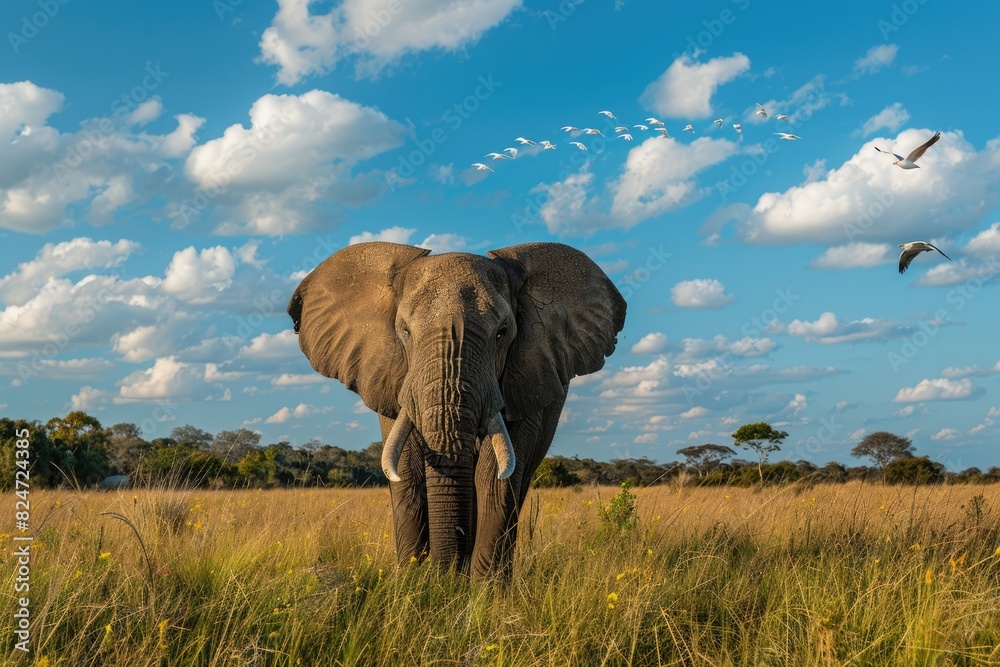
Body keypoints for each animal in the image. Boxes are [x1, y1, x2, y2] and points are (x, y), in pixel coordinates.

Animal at [287, 241, 626, 579]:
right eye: (405, 331)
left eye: (502, 332)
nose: (446, 575)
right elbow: (407, 469)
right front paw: (413, 581)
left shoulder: (528, 377)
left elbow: (494, 477)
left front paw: (484, 589)